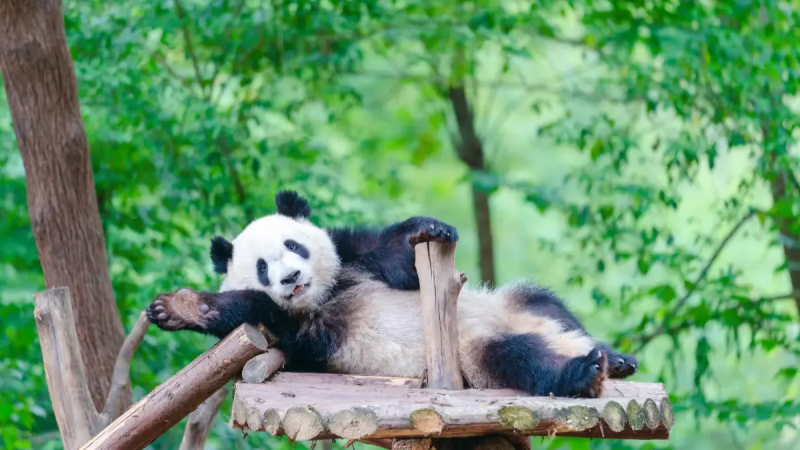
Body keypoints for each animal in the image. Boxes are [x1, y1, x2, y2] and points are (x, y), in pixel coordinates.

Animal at [146, 190, 637, 398]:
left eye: (294, 246)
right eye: (262, 268)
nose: (291, 278)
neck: (324, 294)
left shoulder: (352, 255)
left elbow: (397, 258)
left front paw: (430, 228)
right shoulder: (302, 332)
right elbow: (255, 308)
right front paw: (176, 307)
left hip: (513, 304)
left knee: (548, 304)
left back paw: (614, 358)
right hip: (473, 354)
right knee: (519, 358)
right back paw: (584, 371)